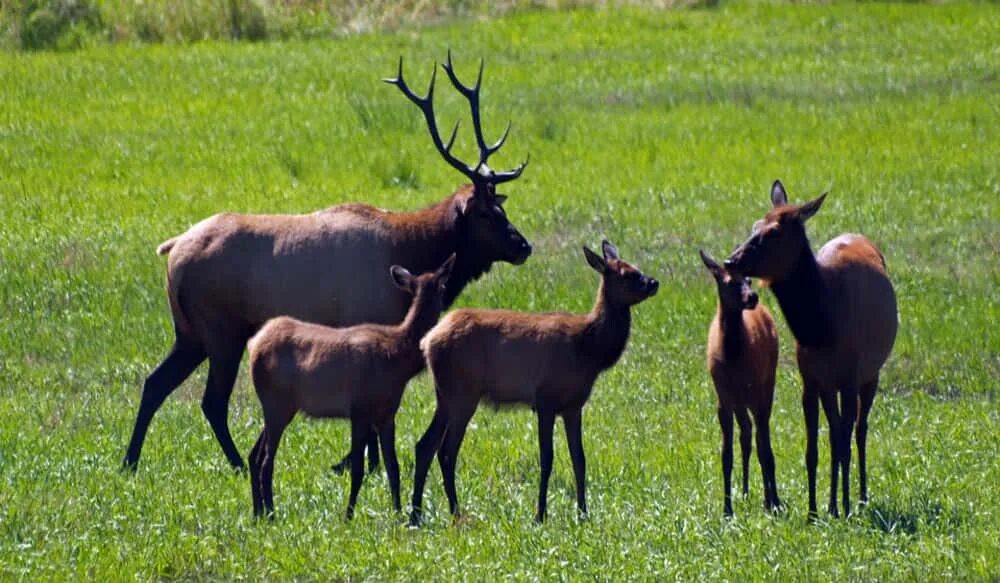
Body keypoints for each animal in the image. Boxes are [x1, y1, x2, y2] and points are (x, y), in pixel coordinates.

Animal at [124, 52, 532, 476]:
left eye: (502, 207)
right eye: (484, 213)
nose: (523, 246)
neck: (411, 248)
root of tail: (172, 250)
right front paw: (360, 463)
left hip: (189, 332)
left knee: (154, 383)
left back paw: (130, 460)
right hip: (222, 330)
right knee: (212, 402)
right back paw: (236, 464)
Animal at [247, 256, 458, 520]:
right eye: (443, 287)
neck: (398, 360)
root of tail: (253, 345)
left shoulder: (387, 413)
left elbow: (393, 466)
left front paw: (398, 513)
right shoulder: (359, 409)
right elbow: (358, 469)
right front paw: (348, 515)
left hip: (278, 406)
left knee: (254, 455)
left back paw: (258, 513)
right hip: (276, 403)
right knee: (266, 461)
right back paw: (271, 513)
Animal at [406, 240, 656, 528]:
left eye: (637, 268)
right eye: (627, 274)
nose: (654, 282)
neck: (589, 350)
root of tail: (427, 341)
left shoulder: (573, 406)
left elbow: (579, 458)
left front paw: (583, 513)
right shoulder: (545, 399)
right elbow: (547, 458)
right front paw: (540, 515)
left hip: (446, 395)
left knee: (425, 445)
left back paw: (416, 514)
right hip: (463, 393)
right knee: (446, 452)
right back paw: (455, 513)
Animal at [696, 250, 780, 516]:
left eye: (749, 279)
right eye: (730, 282)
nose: (752, 296)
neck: (733, 357)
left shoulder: (755, 389)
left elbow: (764, 448)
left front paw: (773, 502)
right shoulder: (723, 397)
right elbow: (726, 454)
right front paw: (727, 508)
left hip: (767, 382)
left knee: (760, 437)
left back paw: (769, 497)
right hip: (741, 401)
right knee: (747, 434)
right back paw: (744, 491)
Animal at [724, 180, 904, 516]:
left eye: (774, 232)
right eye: (755, 225)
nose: (731, 260)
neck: (821, 328)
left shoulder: (849, 376)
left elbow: (845, 441)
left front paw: (844, 506)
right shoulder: (810, 380)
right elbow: (813, 450)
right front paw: (815, 511)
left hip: (871, 373)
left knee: (859, 430)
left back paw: (860, 497)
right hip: (830, 385)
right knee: (836, 431)